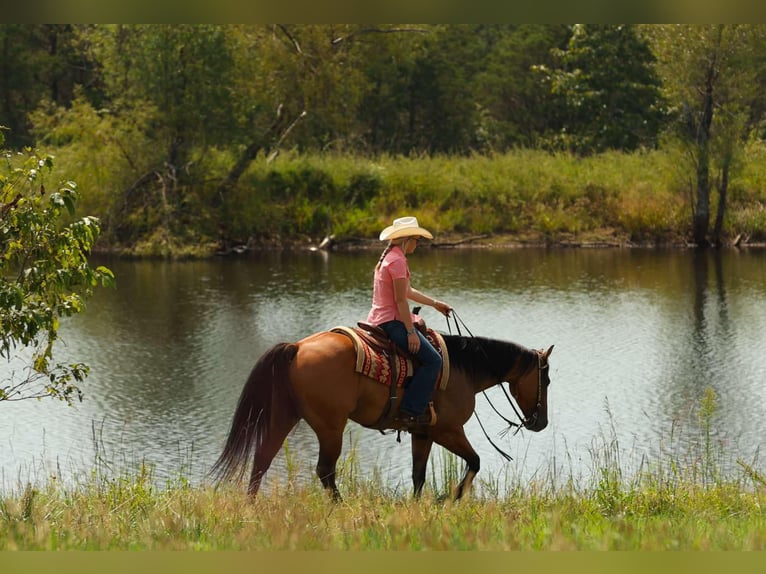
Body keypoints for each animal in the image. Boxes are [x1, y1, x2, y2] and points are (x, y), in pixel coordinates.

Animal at [211, 327, 554, 501]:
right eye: (547, 379)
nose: (541, 423)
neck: (462, 368)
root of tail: (296, 347)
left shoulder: (422, 433)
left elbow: (418, 475)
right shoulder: (448, 430)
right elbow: (475, 461)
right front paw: (451, 497)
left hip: (285, 415)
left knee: (262, 458)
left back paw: (251, 508)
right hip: (330, 426)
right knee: (325, 470)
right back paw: (341, 507)